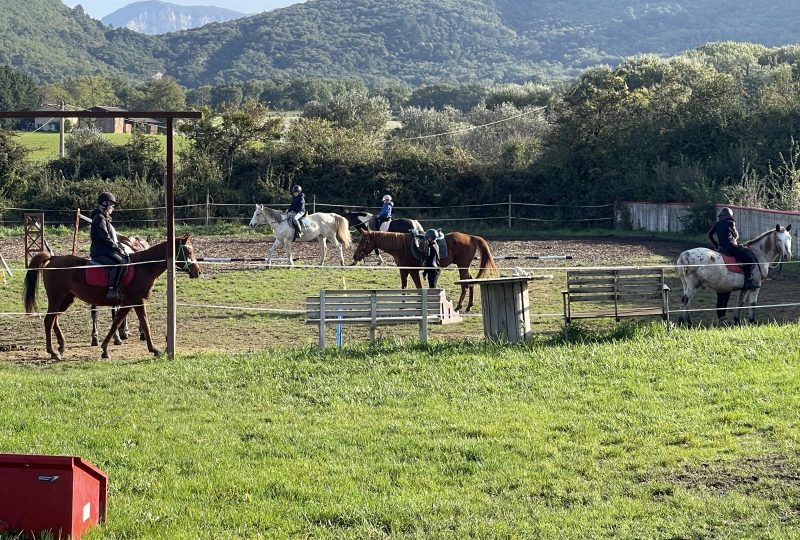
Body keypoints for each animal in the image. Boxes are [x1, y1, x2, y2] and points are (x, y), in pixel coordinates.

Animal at [24, 235, 202, 358]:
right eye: (189, 251)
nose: (197, 271)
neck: (143, 267)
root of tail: (53, 258)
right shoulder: (137, 301)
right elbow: (145, 323)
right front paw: (154, 349)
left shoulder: (128, 303)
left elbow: (116, 322)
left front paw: (105, 349)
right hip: (57, 298)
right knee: (49, 320)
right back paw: (53, 352)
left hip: (66, 299)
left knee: (54, 320)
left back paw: (61, 346)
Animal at [352, 229, 496, 312]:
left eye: (363, 241)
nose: (355, 256)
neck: (401, 246)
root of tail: (471, 237)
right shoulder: (403, 271)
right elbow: (404, 288)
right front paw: (402, 305)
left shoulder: (413, 271)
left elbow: (418, 287)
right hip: (465, 266)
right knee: (470, 282)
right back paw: (469, 306)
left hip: (462, 266)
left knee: (465, 285)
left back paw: (459, 306)